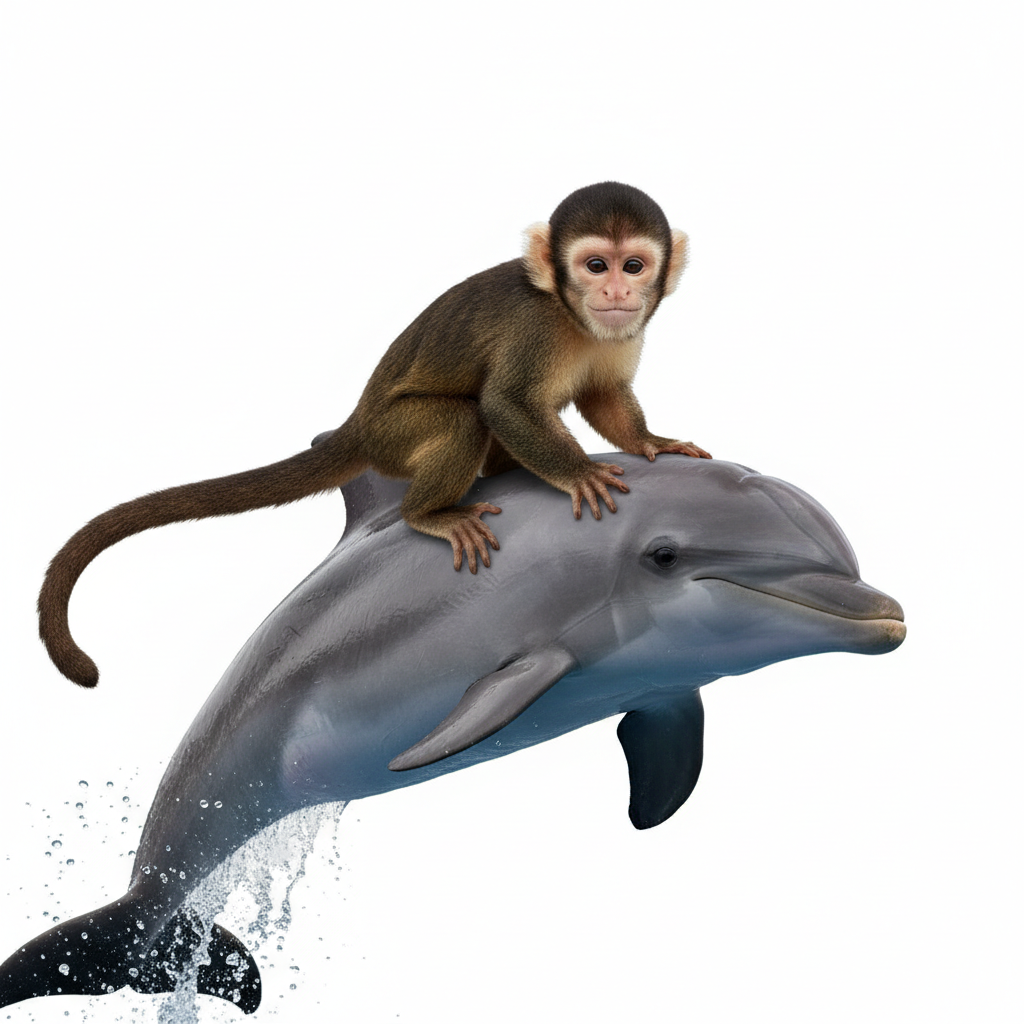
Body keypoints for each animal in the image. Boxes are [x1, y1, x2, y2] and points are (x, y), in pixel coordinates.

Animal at [38, 181, 711, 688]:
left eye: (633, 265)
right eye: (594, 265)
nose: (616, 290)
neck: (573, 317)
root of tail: (358, 423)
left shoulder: (622, 332)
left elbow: (603, 396)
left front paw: (652, 443)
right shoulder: (535, 326)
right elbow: (505, 403)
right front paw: (579, 474)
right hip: (394, 433)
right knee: (465, 416)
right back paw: (428, 514)